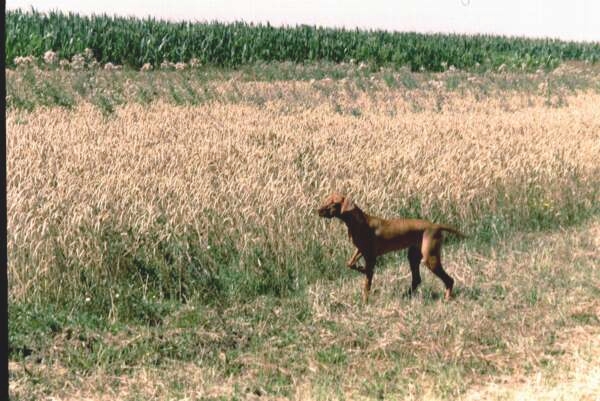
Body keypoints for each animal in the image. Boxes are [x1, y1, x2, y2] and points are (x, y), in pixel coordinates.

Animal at [318, 192, 464, 302]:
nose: (317, 210)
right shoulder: (361, 250)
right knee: (417, 279)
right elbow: (350, 264)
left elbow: (367, 283)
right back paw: (406, 296)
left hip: (430, 258)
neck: (359, 223)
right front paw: (361, 268)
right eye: (326, 200)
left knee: (449, 280)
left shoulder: (371, 257)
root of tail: (436, 226)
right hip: (413, 256)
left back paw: (447, 298)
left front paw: (365, 301)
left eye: (333, 203)